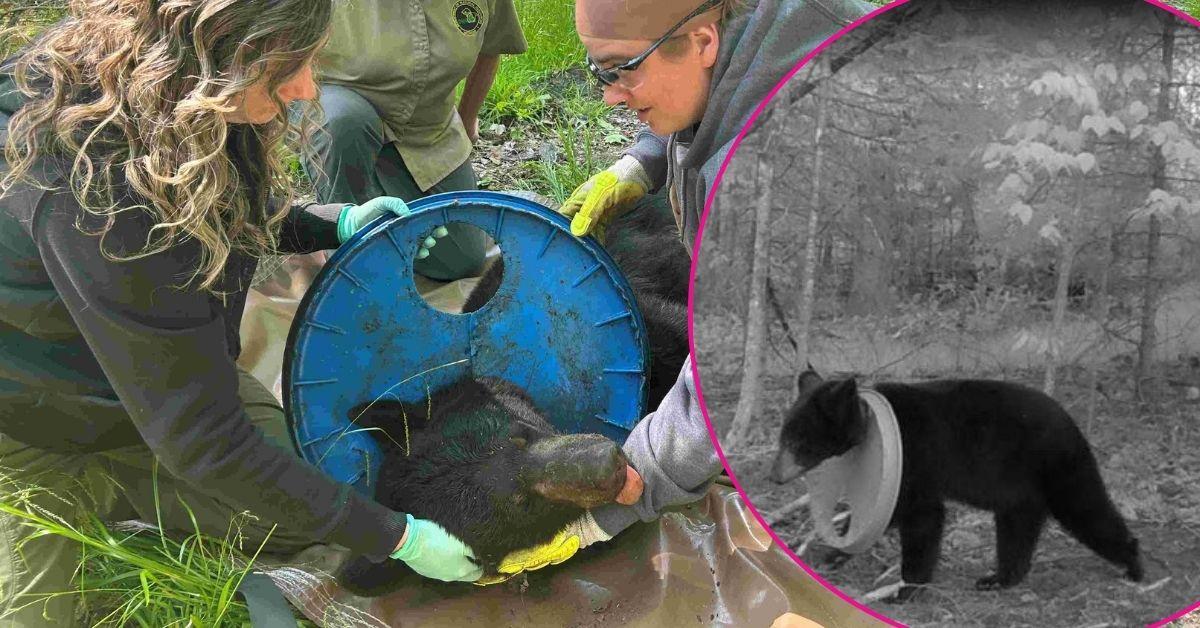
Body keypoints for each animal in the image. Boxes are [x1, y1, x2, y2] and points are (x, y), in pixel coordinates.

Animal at [770, 366, 1144, 601]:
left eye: (797, 440)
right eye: (783, 436)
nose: (774, 475)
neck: (867, 422)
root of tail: (1071, 422)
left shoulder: (915, 460)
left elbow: (922, 519)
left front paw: (905, 589)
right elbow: (882, 514)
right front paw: (833, 553)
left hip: (1057, 466)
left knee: (1087, 509)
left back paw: (1133, 565)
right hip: (1020, 489)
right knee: (1017, 529)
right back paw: (998, 578)